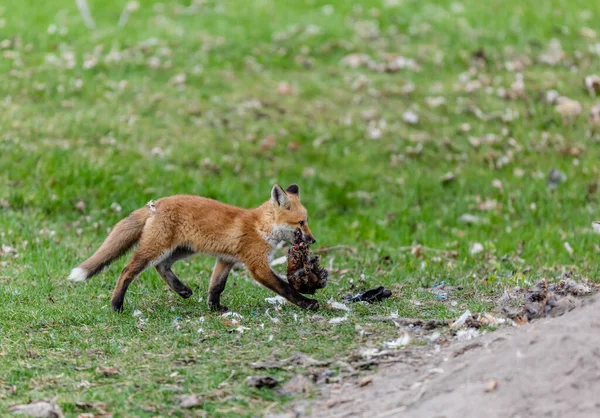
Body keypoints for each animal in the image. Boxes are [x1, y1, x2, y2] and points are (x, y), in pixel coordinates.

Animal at [68, 185, 318, 312]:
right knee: (127, 270)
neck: (261, 226)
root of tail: (155, 204)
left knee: (162, 267)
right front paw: (307, 303)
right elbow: (284, 288)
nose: (313, 240)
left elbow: (216, 286)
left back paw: (182, 290)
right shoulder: (256, 265)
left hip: (181, 250)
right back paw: (116, 305)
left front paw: (215, 309)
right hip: (157, 249)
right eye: (301, 223)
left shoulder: (226, 260)